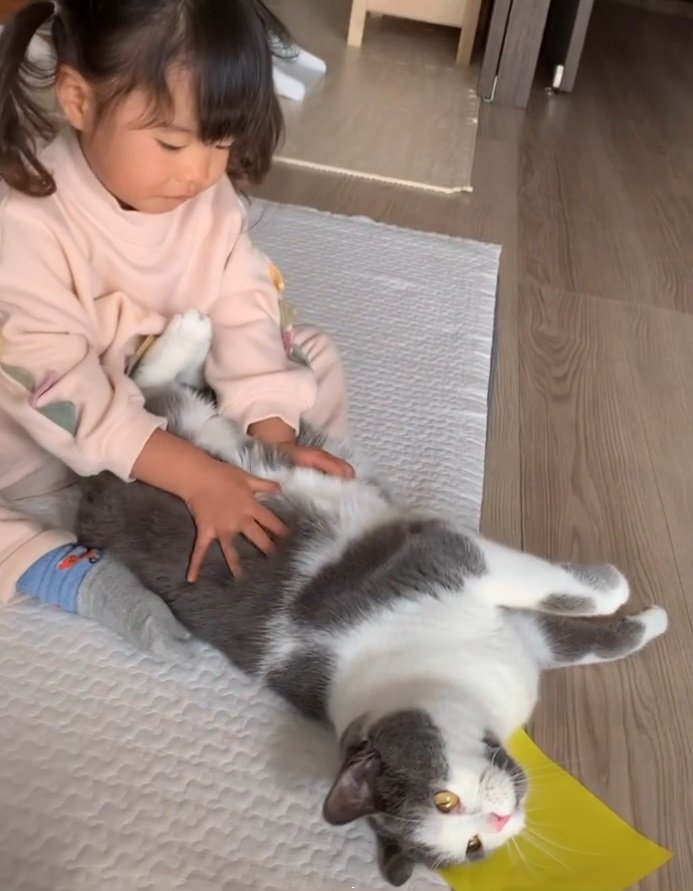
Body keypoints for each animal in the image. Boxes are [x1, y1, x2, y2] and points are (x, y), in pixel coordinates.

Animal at [77, 309, 669, 887]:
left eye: (445, 799)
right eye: (470, 842)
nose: (500, 820)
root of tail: (89, 500)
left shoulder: (443, 559)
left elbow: (578, 618)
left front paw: (643, 610)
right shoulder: (451, 564)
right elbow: (574, 615)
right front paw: (636, 599)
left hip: (210, 445)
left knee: (150, 394)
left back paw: (215, 340)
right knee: (148, 397)